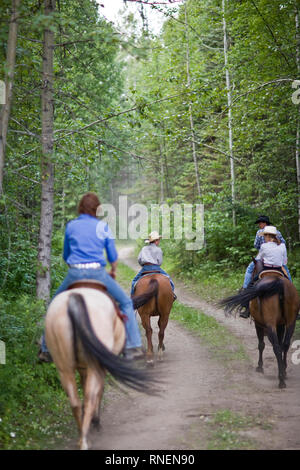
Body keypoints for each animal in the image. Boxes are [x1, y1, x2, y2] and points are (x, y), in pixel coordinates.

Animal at [45, 284, 156, 450]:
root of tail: (74, 301)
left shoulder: (83, 368)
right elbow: (99, 390)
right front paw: (95, 420)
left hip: (64, 368)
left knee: (75, 402)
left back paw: (82, 437)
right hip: (93, 366)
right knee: (90, 397)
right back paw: (88, 436)